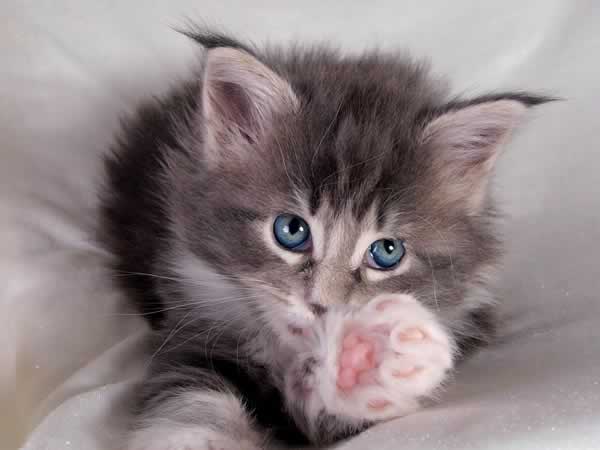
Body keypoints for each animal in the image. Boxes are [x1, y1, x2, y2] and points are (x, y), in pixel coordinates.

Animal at [99, 29, 552, 448]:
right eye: (291, 231)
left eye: (387, 252)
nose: (322, 306)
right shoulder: (191, 327)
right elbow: (192, 392)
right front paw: (197, 438)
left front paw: (365, 368)